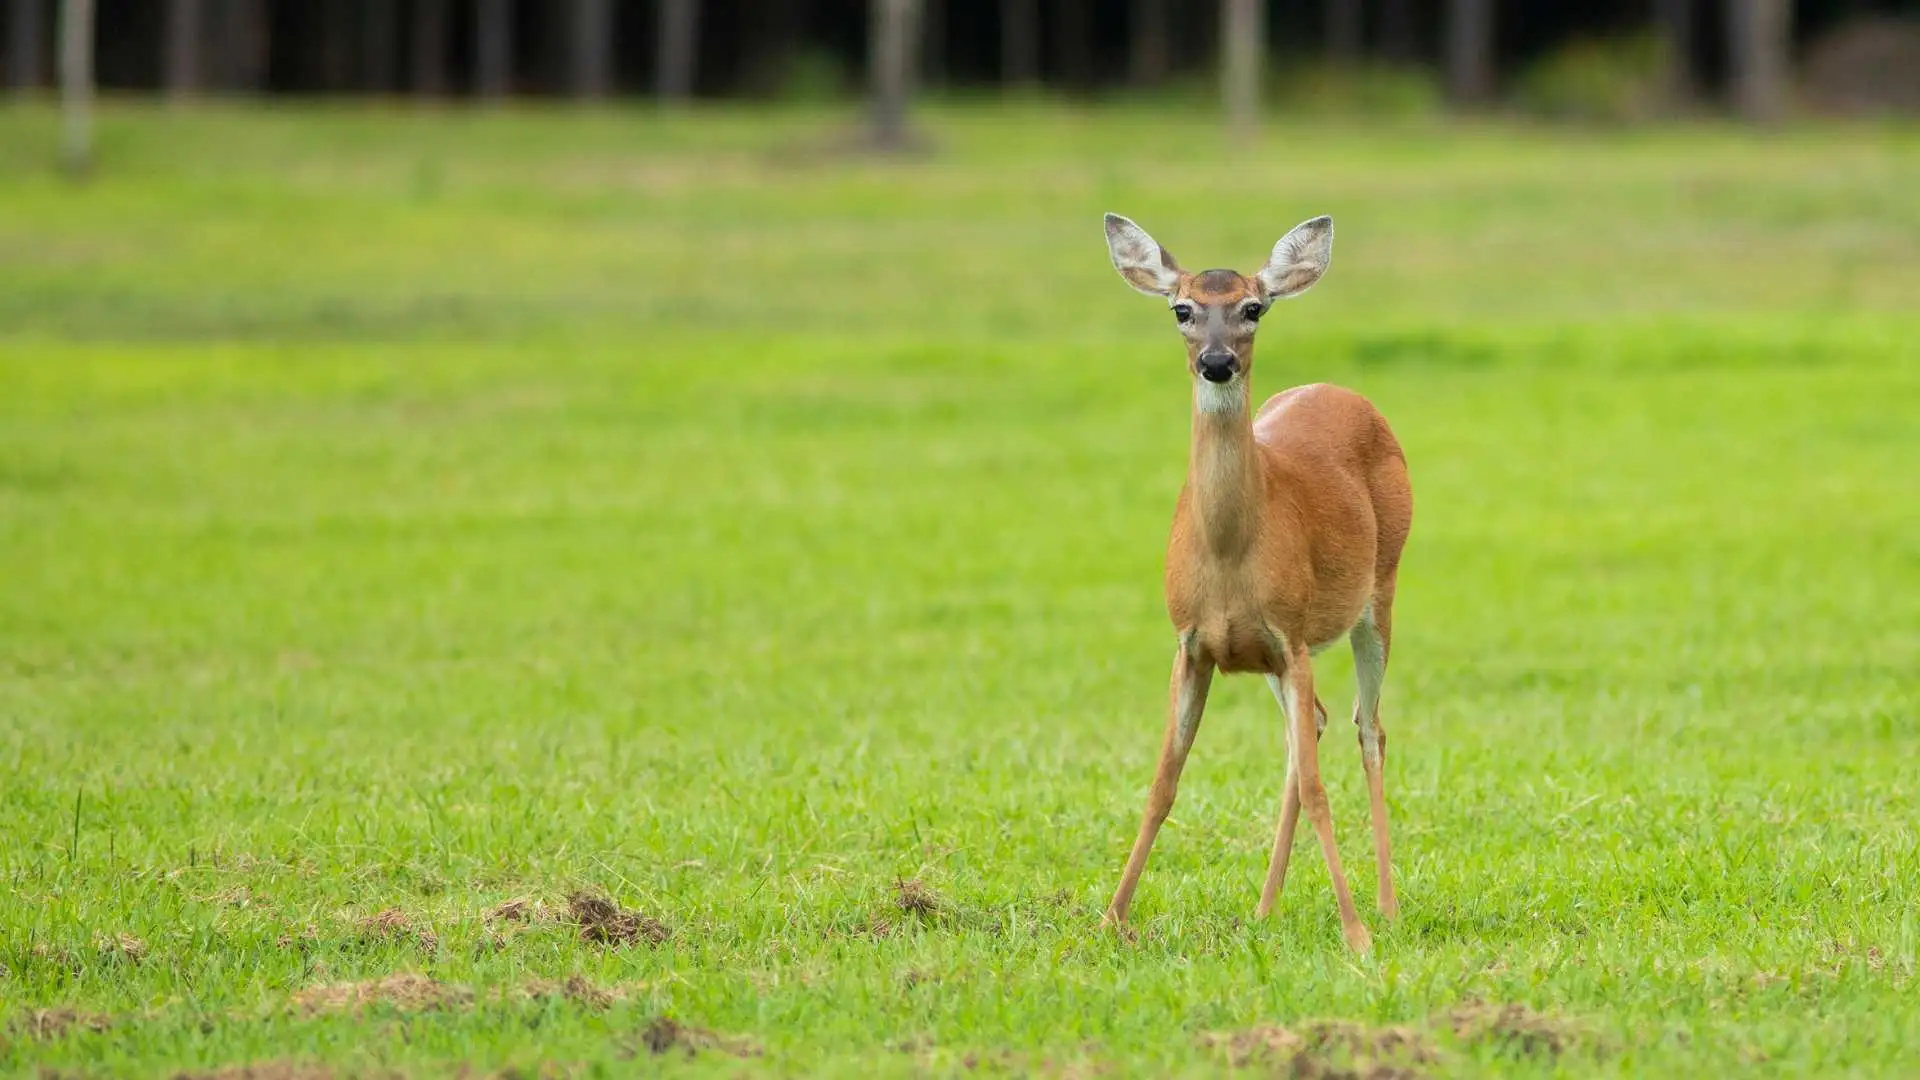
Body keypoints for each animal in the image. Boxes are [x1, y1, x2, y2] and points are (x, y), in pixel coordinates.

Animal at [1098, 212, 1411, 954]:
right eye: (1182, 309)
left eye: (1252, 308)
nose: (1217, 362)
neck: (1229, 557)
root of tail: (1343, 391)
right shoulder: (1193, 643)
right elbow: (1162, 783)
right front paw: (1108, 917)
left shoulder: (1291, 633)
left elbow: (1321, 789)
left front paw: (1356, 932)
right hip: (1274, 656)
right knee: (1314, 728)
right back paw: (1266, 908)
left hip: (1379, 591)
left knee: (1368, 728)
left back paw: (1386, 906)